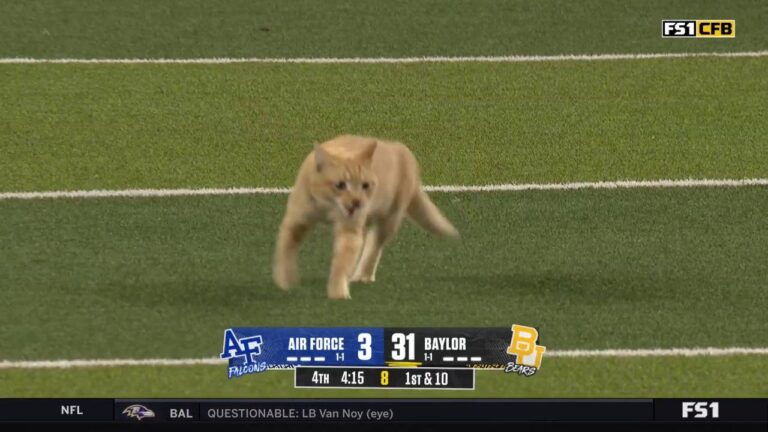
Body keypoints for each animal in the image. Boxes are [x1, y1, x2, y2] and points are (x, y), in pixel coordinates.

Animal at [272, 133, 460, 298]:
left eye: (365, 185)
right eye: (340, 185)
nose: (357, 202)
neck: (327, 207)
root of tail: (402, 149)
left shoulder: (350, 231)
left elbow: (341, 262)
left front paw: (338, 291)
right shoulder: (296, 221)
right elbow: (285, 250)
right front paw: (286, 281)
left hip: (390, 218)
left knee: (374, 246)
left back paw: (362, 275)